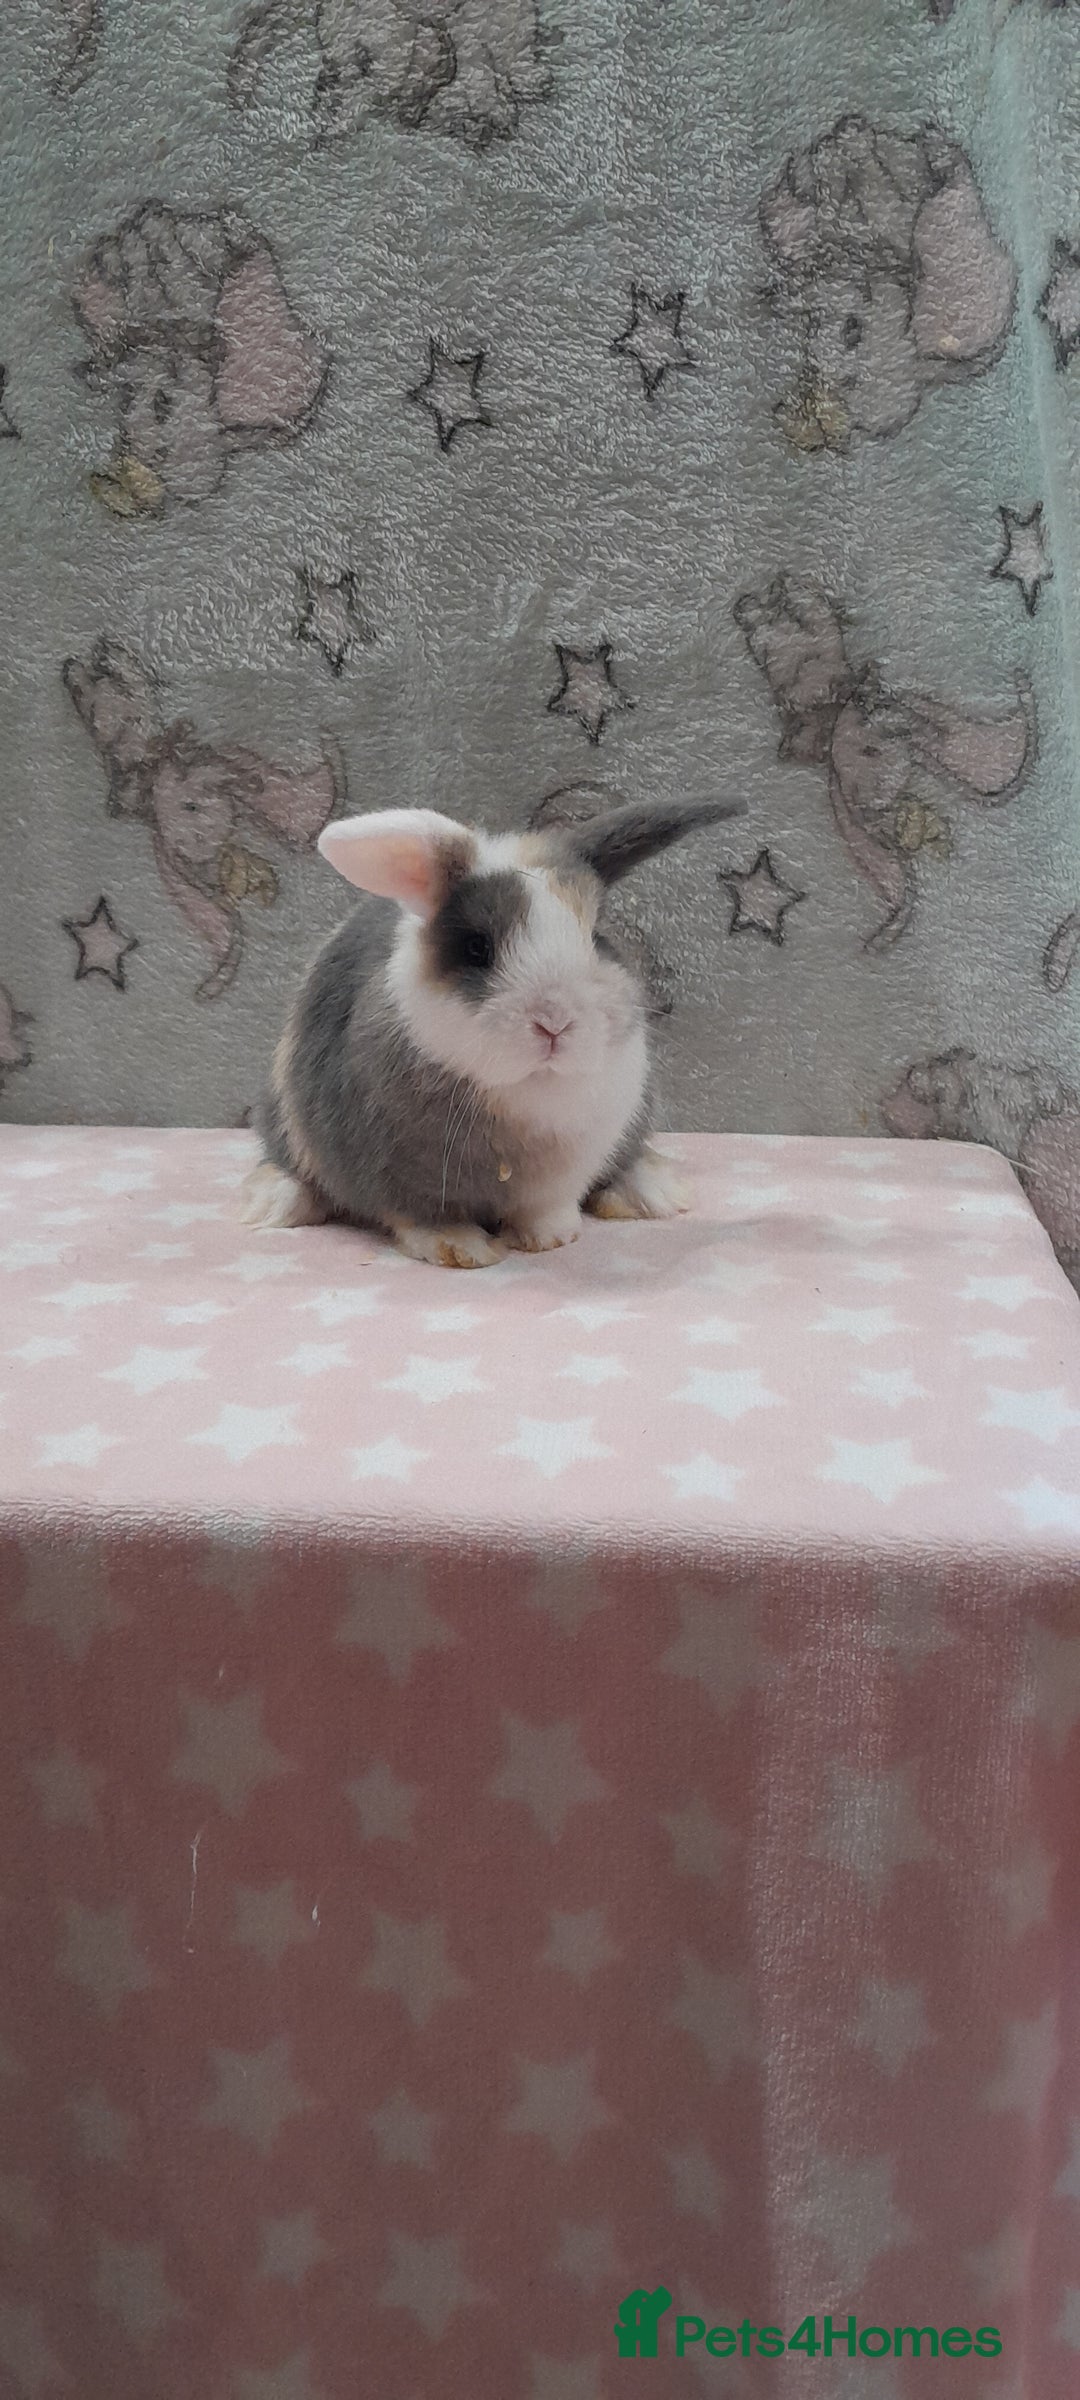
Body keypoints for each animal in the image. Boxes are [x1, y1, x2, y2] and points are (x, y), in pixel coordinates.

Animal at [241, 792, 744, 1267]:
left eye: (597, 936)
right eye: (477, 948)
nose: (555, 1022)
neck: (529, 1093)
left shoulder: (566, 1171)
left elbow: (547, 1210)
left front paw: (553, 1237)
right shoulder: (396, 1176)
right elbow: (424, 1217)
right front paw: (463, 1247)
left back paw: (651, 1191)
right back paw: (272, 1204)